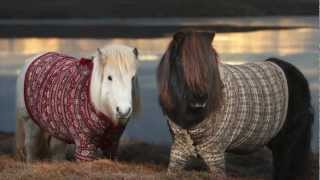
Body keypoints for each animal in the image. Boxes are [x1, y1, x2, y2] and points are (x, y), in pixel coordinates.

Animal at [156, 30, 314, 179]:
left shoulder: (215, 153)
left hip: (289, 143)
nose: (200, 99)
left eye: (209, 63)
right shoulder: (179, 149)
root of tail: (297, 74)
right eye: (181, 62)